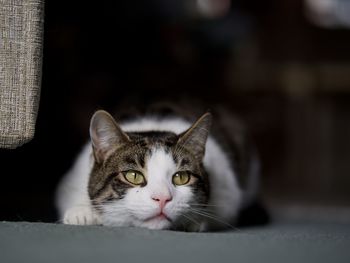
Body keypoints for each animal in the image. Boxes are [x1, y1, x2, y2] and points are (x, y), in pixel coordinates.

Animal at [55, 106, 262, 232]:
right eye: (133, 176)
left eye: (181, 177)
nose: (162, 198)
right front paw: (82, 213)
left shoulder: (229, 196)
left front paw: (193, 223)